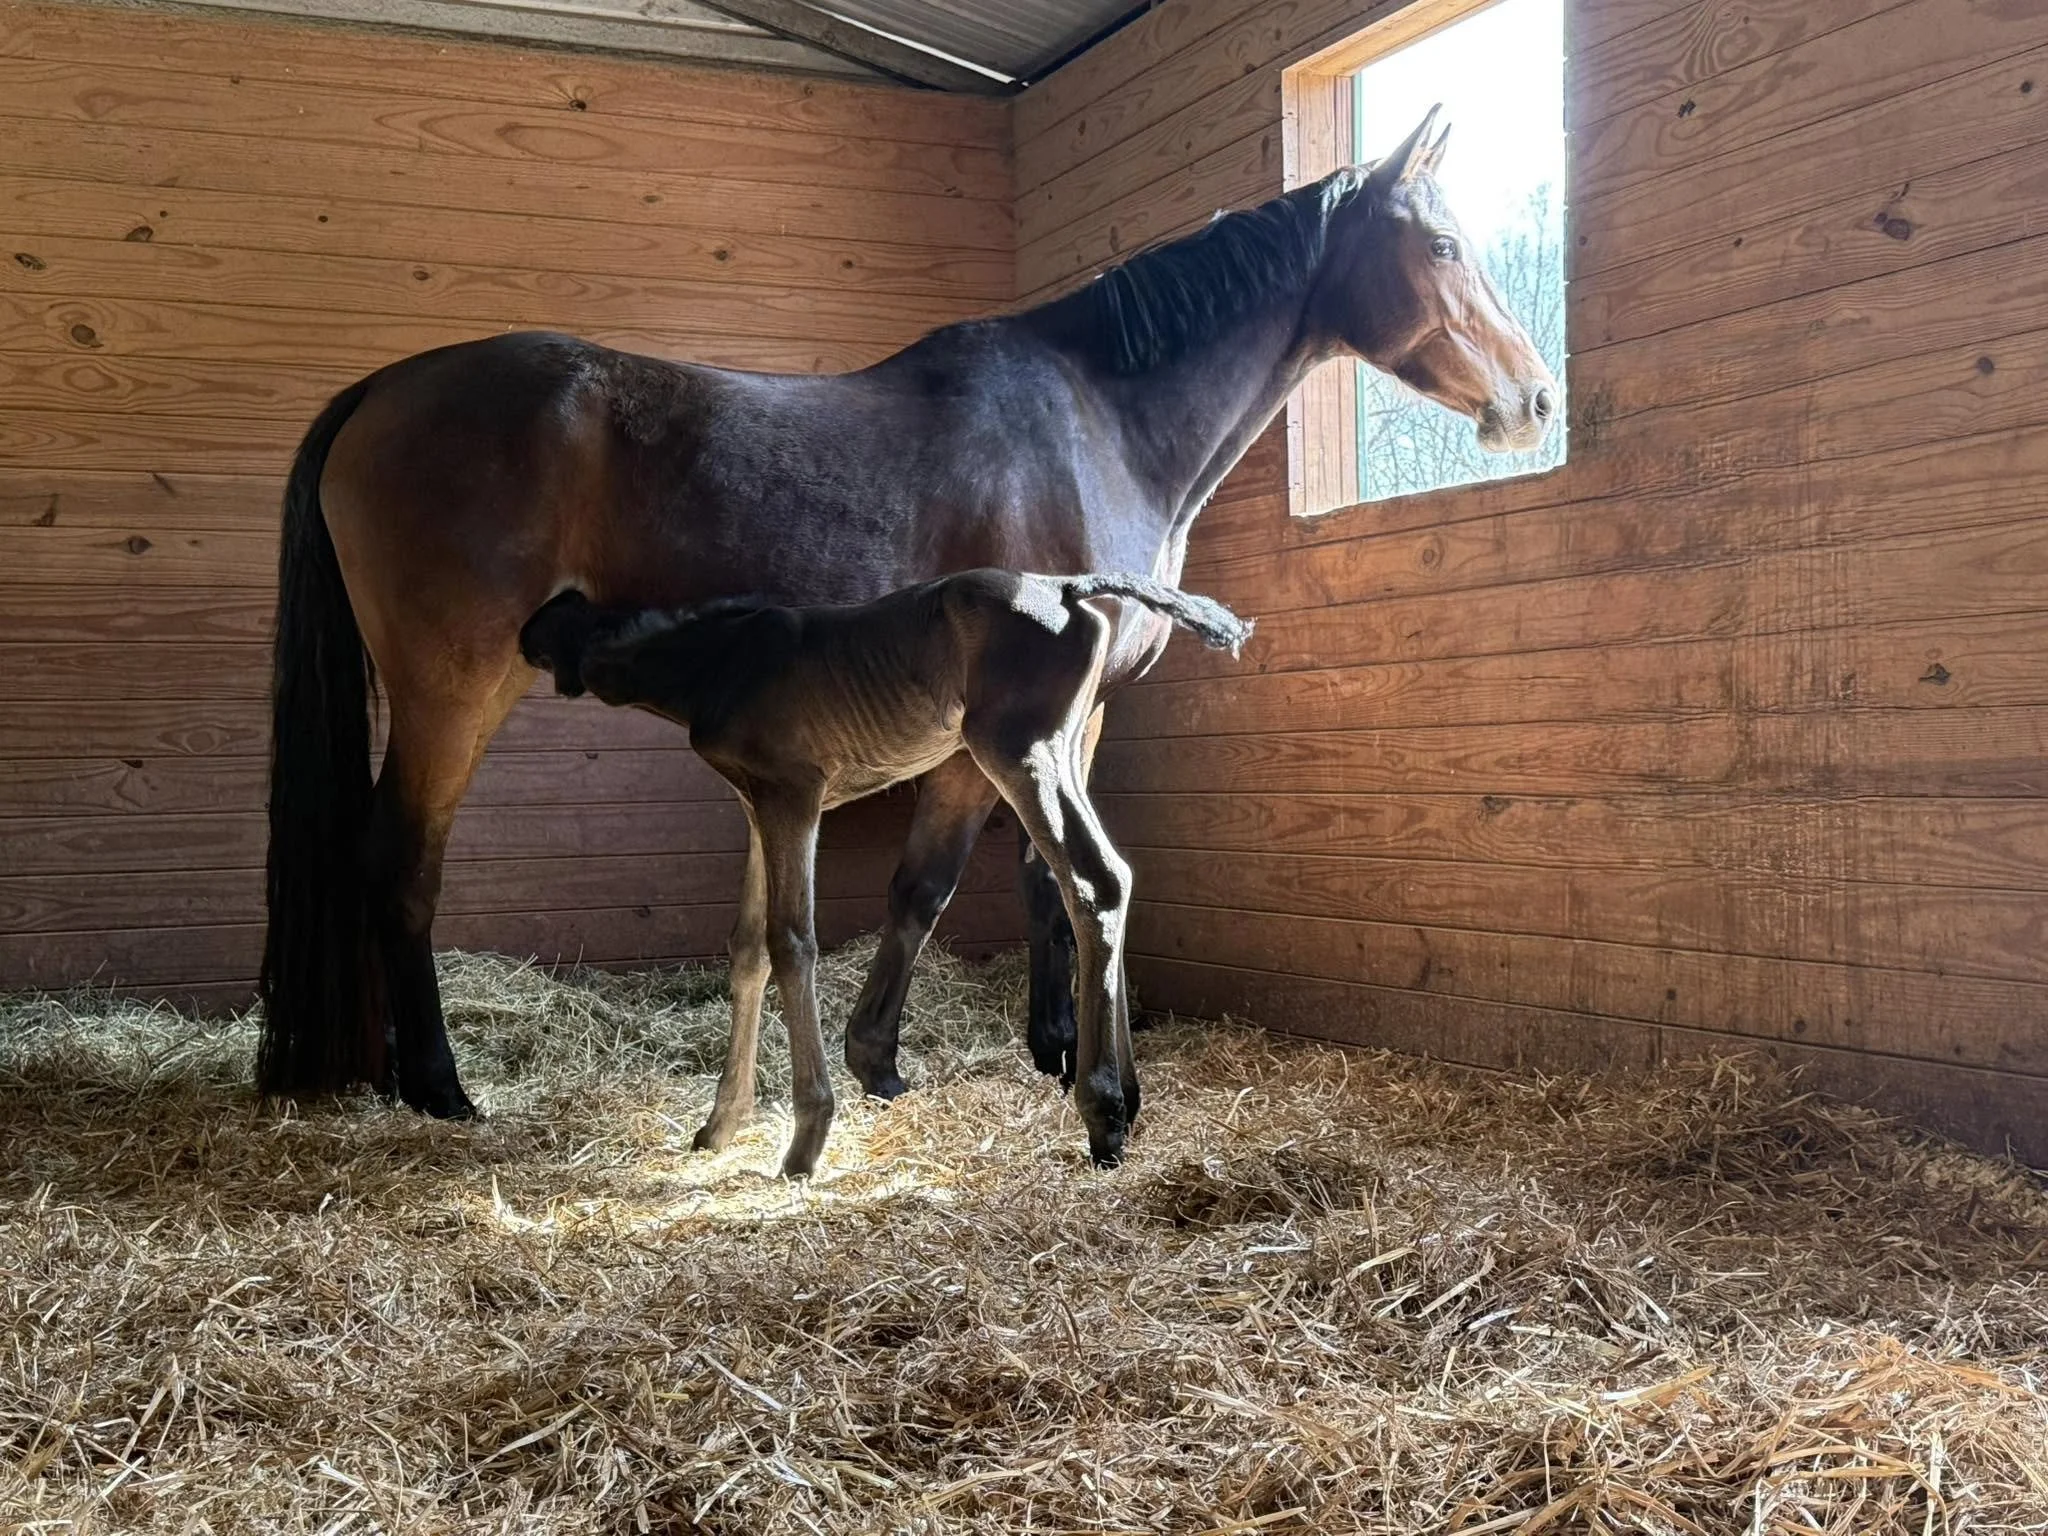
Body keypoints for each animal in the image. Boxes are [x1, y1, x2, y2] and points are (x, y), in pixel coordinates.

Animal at [517, 571, 1251, 1173]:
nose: (520, 642)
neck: (715, 662)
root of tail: (1064, 586)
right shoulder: (757, 806)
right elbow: (748, 948)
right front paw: (720, 1126)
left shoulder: (794, 794)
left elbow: (792, 942)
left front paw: (806, 1141)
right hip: (1063, 750)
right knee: (1115, 876)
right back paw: (1127, 1092)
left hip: (1019, 752)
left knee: (1093, 881)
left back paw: (1103, 1115)